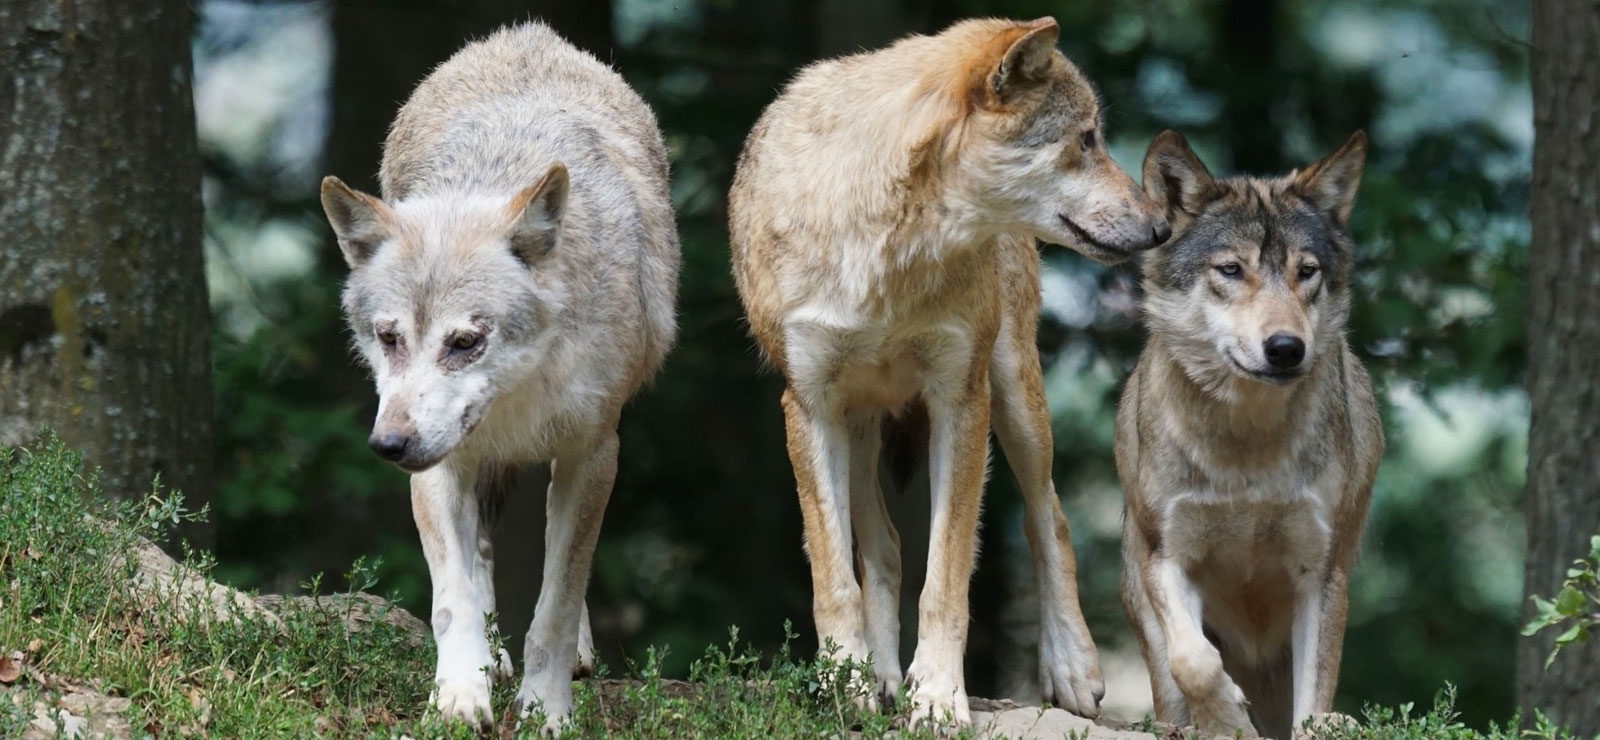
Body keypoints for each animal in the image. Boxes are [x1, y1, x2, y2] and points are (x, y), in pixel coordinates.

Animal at [318, 21, 681, 733]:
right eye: (389, 338)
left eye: (465, 342)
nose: (388, 445)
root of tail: (524, 33)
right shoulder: (439, 465)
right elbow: (453, 597)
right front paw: (460, 696)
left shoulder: (594, 453)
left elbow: (557, 603)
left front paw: (546, 709)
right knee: (481, 555)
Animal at [726, 17, 1164, 727]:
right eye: (1087, 139)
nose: (1161, 226)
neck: (889, 249)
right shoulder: (809, 405)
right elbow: (834, 577)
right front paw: (846, 685)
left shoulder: (961, 398)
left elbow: (947, 578)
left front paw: (935, 697)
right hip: (858, 423)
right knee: (882, 546)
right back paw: (878, 678)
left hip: (1014, 395)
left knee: (1048, 517)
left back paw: (1071, 669)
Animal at [1120, 131, 1382, 740]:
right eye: (1231, 270)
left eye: (1306, 271)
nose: (1286, 348)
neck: (1246, 447)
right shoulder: (1167, 555)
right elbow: (1193, 661)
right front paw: (1228, 720)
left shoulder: (1321, 573)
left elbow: (1312, 704)